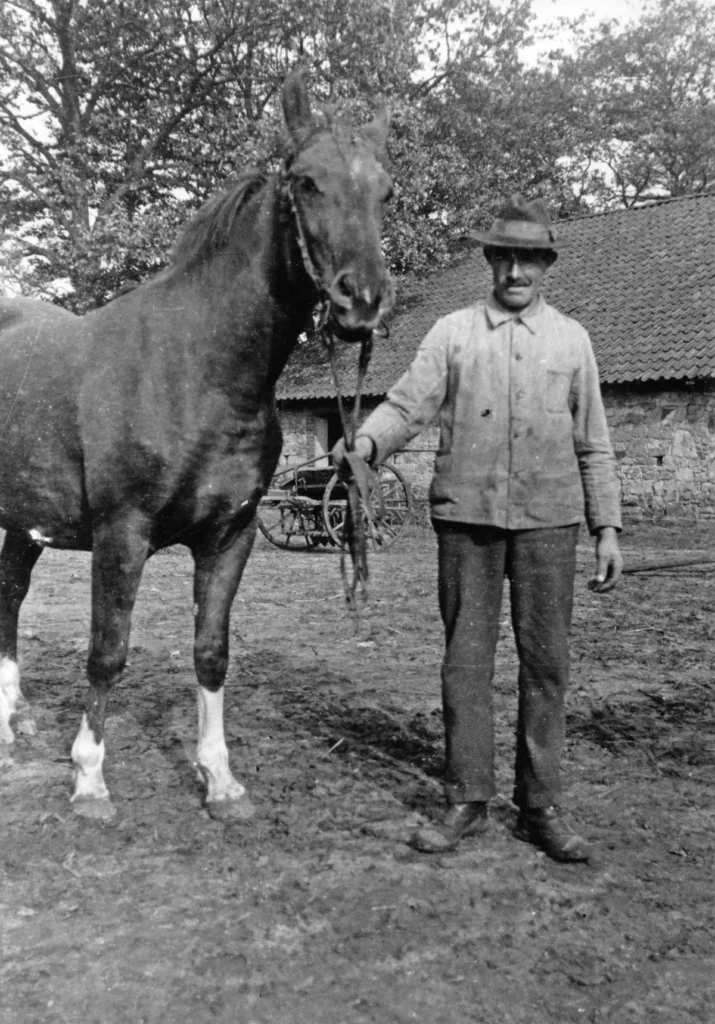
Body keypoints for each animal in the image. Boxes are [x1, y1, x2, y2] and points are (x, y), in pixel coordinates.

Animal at [0, 70, 394, 822]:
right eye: (306, 182)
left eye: (384, 189)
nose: (361, 300)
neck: (198, 370)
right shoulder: (122, 533)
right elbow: (107, 651)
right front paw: (89, 780)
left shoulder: (230, 535)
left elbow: (212, 651)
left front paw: (220, 780)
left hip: (22, 522)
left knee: (8, 597)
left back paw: (11, 721)